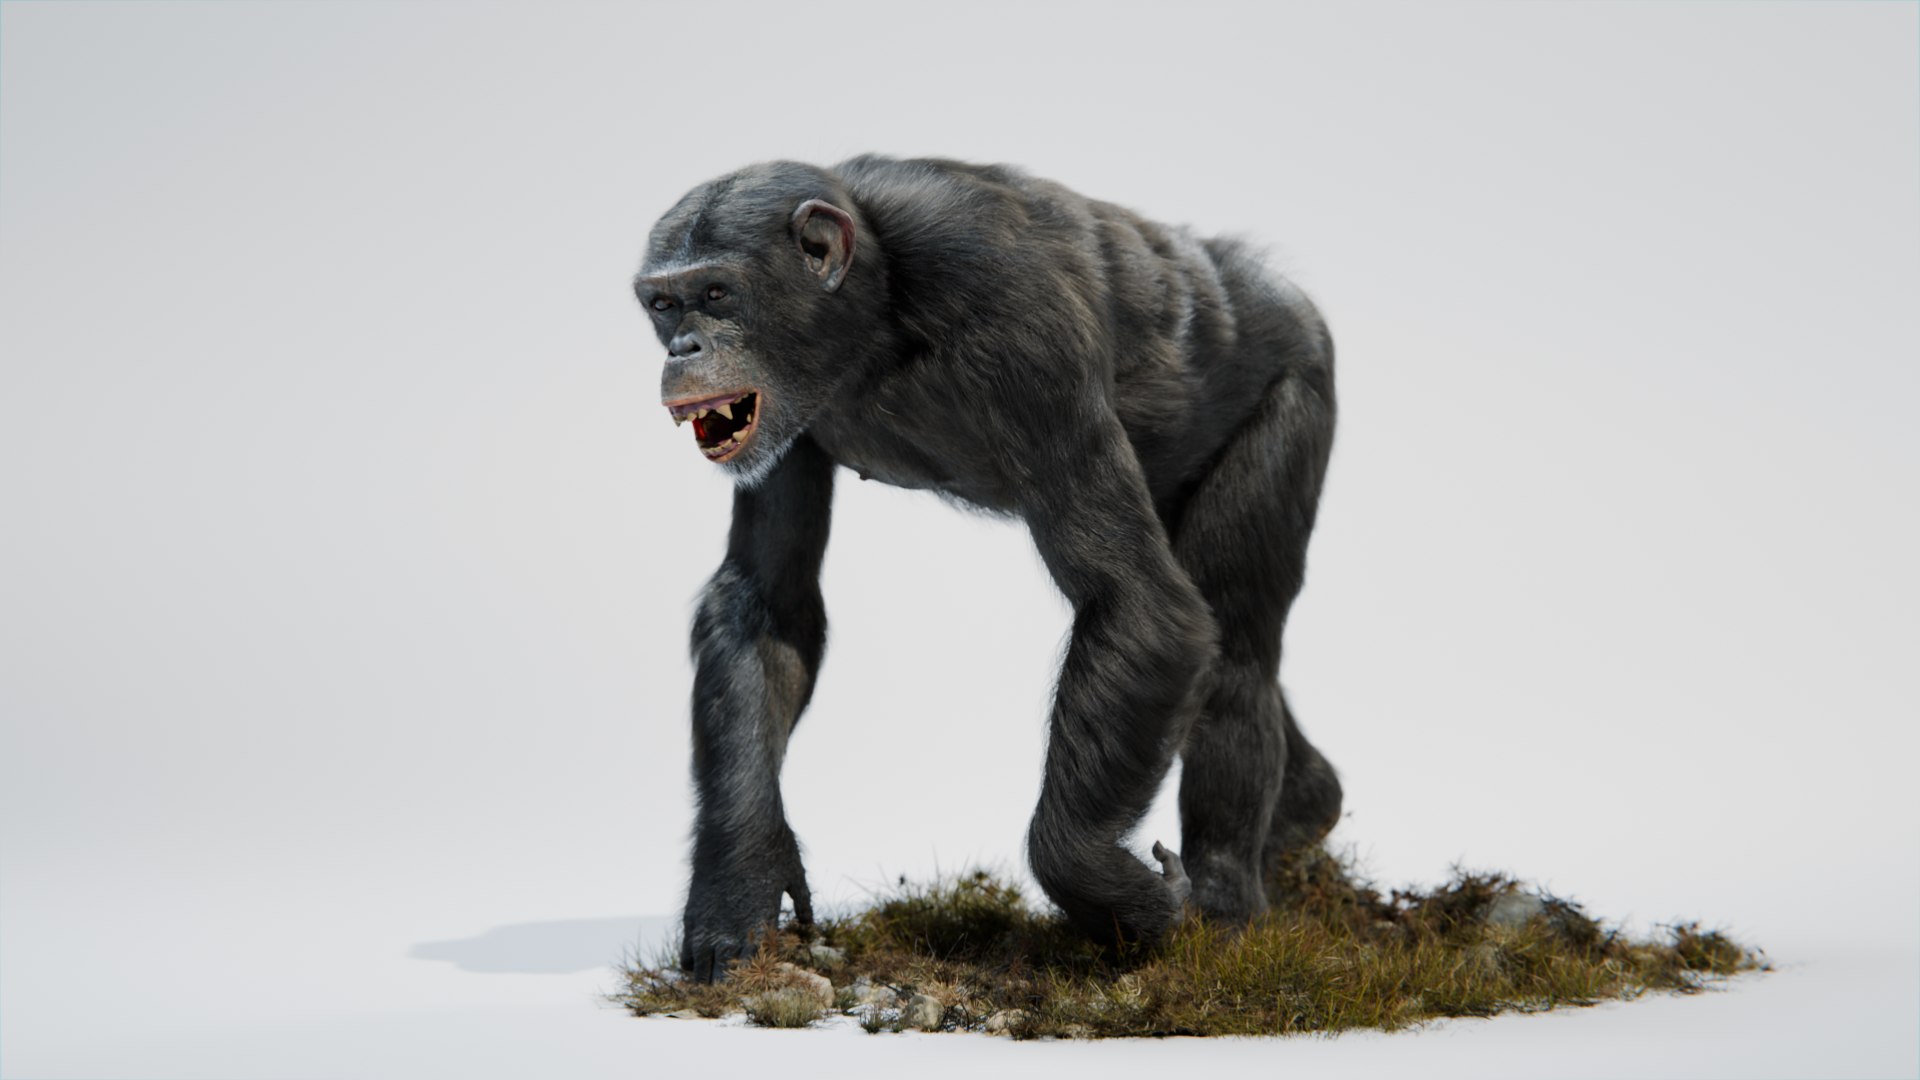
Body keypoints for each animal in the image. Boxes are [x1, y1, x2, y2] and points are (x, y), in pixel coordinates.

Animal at [636, 156, 1343, 982]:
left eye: (718, 293)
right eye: (662, 303)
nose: (681, 346)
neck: (873, 316)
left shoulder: (1023, 322)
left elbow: (1138, 602)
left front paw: (1119, 895)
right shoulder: (779, 424)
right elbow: (767, 599)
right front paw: (736, 886)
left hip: (1296, 384)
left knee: (1235, 651)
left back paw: (1227, 918)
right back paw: (1305, 809)